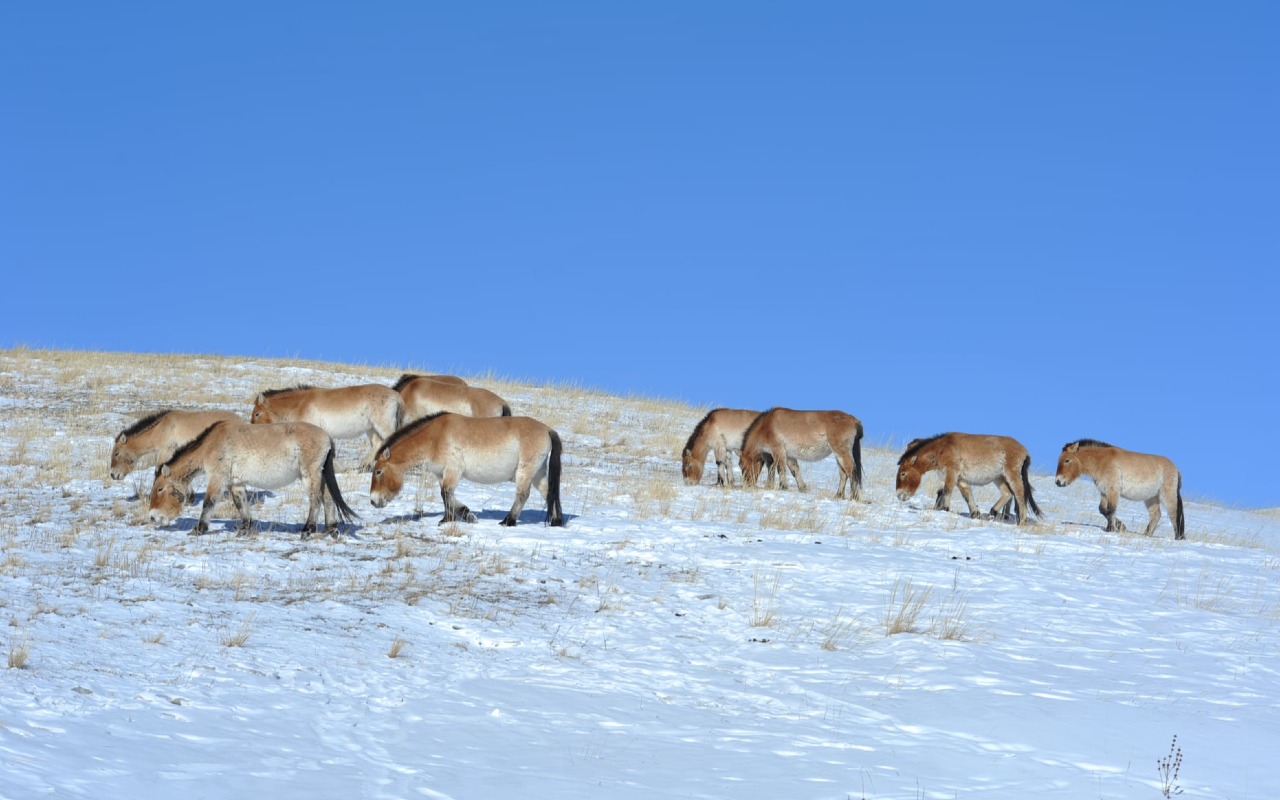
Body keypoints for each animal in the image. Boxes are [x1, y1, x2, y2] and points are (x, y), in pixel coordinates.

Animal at [148, 420, 358, 537]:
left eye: (160, 489)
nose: (152, 517)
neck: (211, 445)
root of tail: (327, 437)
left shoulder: (217, 478)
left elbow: (208, 503)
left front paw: (199, 529)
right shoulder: (236, 483)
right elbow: (241, 504)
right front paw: (245, 528)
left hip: (310, 475)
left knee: (316, 500)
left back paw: (308, 530)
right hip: (320, 475)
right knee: (328, 498)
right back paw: (331, 529)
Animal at [250, 384, 404, 469]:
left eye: (257, 414)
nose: (251, 429)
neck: (301, 404)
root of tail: (396, 395)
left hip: (383, 426)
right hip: (371, 429)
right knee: (378, 444)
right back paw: (363, 466)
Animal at [369, 412, 564, 527]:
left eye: (378, 471)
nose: (373, 501)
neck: (435, 438)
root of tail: (547, 430)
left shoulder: (453, 471)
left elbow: (446, 493)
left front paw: (464, 516)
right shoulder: (441, 474)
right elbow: (445, 495)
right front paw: (450, 518)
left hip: (525, 471)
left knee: (523, 495)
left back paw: (508, 521)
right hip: (537, 473)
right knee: (549, 493)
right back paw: (556, 521)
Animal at [895, 432, 1042, 526]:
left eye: (903, 473)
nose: (899, 495)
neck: (942, 449)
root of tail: (1024, 451)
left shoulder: (952, 474)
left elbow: (947, 491)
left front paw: (945, 509)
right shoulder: (961, 479)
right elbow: (966, 495)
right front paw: (975, 513)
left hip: (1011, 475)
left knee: (1019, 494)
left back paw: (1021, 521)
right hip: (999, 478)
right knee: (1008, 493)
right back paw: (993, 512)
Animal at [1055, 439, 1185, 539]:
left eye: (1067, 460)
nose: (1058, 481)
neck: (1102, 461)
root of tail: (1176, 469)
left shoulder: (1113, 491)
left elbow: (1111, 510)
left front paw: (1112, 529)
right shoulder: (1104, 492)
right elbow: (1103, 510)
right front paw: (1119, 526)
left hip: (1167, 496)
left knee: (1174, 515)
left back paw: (1178, 537)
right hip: (1151, 498)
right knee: (1156, 515)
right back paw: (1146, 534)